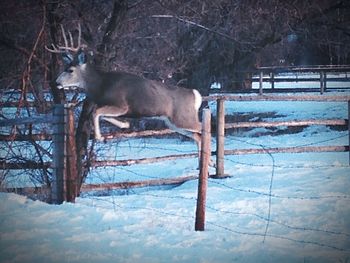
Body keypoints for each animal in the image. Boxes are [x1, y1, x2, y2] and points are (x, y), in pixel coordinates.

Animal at [47, 25, 204, 161]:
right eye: (65, 67)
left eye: (70, 70)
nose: (56, 82)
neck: (101, 85)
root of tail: (195, 95)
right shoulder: (118, 108)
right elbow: (103, 114)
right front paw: (125, 125)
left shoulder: (122, 105)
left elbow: (96, 112)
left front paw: (99, 137)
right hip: (173, 122)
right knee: (198, 136)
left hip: (183, 118)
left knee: (202, 128)